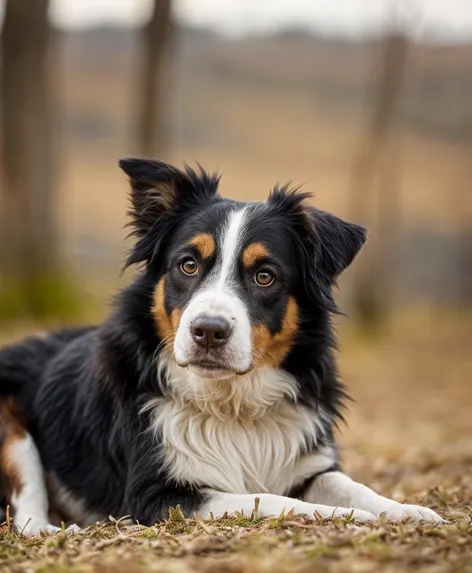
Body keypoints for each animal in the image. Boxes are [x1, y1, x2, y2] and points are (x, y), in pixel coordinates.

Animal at [0, 159, 442, 536]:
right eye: (188, 264)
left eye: (265, 275)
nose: (208, 331)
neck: (233, 403)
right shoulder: (157, 495)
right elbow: (268, 499)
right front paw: (347, 516)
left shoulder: (307, 462)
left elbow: (348, 484)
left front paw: (406, 510)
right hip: (12, 429)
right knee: (26, 515)